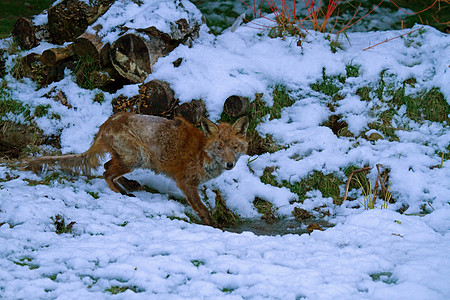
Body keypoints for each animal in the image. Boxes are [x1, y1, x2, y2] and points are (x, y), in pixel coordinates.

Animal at [22, 111, 248, 226]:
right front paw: (214, 225)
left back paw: (128, 186)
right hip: (136, 157)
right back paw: (120, 193)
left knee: (108, 167)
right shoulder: (186, 182)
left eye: (234, 147)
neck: (202, 152)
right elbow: (202, 209)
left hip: (132, 159)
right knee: (106, 173)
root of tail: (106, 123)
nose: (229, 164)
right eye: (219, 147)